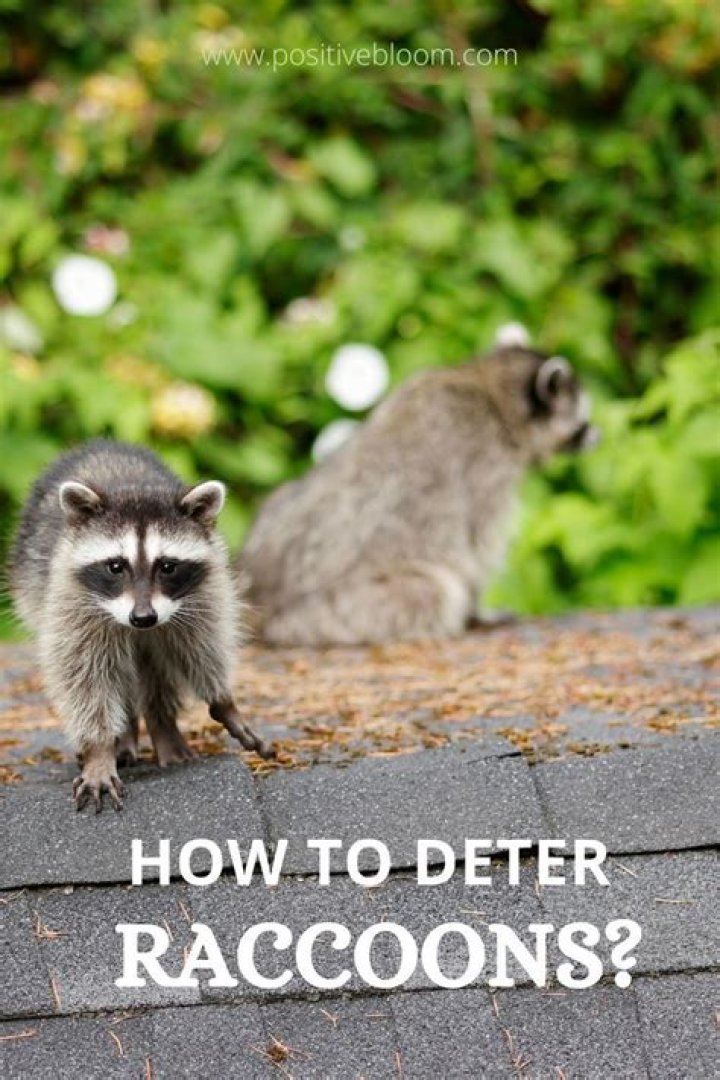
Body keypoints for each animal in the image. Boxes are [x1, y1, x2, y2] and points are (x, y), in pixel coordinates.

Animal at [10, 440, 269, 812]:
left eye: (168, 566)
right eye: (116, 566)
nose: (143, 618)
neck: (134, 487)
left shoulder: (204, 593)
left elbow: (203, 646)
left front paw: (224, 701)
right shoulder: (70, 600)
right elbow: (83, 675)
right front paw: (100, 749)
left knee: (155, 669)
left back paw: (162, 726)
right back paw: (125, 736)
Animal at [239, 334, 598, 646]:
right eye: (582, 421)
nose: (598, 435)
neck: (486, 385)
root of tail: (262, 596)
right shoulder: (485, 467)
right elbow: (476, 547)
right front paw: (478, 609)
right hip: (338, 608)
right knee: (435, 591)